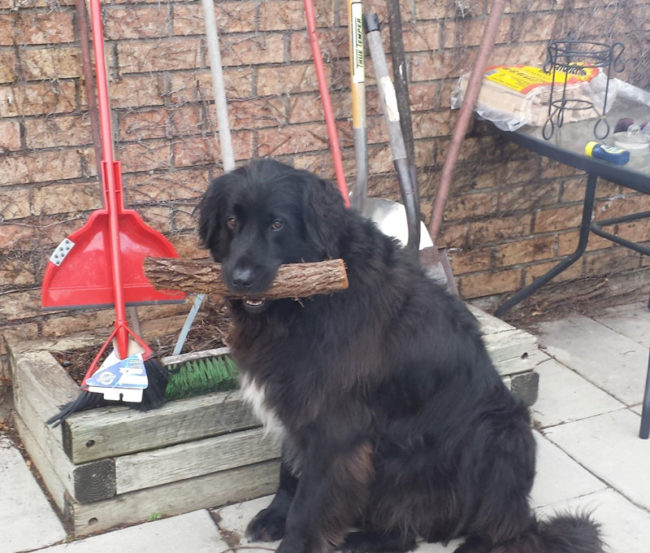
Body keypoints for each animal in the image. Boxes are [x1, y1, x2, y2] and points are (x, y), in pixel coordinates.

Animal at [197, 158, 604, 552]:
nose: (239, 279)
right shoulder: (295, 402)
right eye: (232, 221)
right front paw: (274, 516)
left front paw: (292, 539)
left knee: (487, 531)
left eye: (278, 224)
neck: (307, 306)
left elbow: (308, 506)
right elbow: (288, 471)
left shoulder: (334, 430)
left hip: (501, 434)